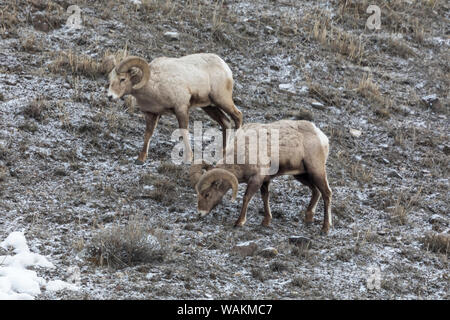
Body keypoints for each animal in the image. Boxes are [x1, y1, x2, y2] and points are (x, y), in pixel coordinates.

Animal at [106, 53, 243, 164]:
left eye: (122, 79)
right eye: (110, 79)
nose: (110, 96)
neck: (154, 86)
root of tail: (225, 67)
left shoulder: (181, 109)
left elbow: (184, 131)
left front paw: (188, 159)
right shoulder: (151, 114)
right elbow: (148, 134)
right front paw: (140, 159)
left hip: (222, 100)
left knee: (238, 116)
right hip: (209, 107)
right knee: (226, 122)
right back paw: (223, 154)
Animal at [190, 119, 334, 232]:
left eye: (207, 194)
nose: (200, 213)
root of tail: (322, 137)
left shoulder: (256, 179)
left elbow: (246, 197)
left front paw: (239, 222)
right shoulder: (265, 181)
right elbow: (265, 197)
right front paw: (266, 221)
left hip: (316, 171)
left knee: (326, 193)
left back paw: (325, 228)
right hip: (302, 175)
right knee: (316, 191)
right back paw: (308, 218)